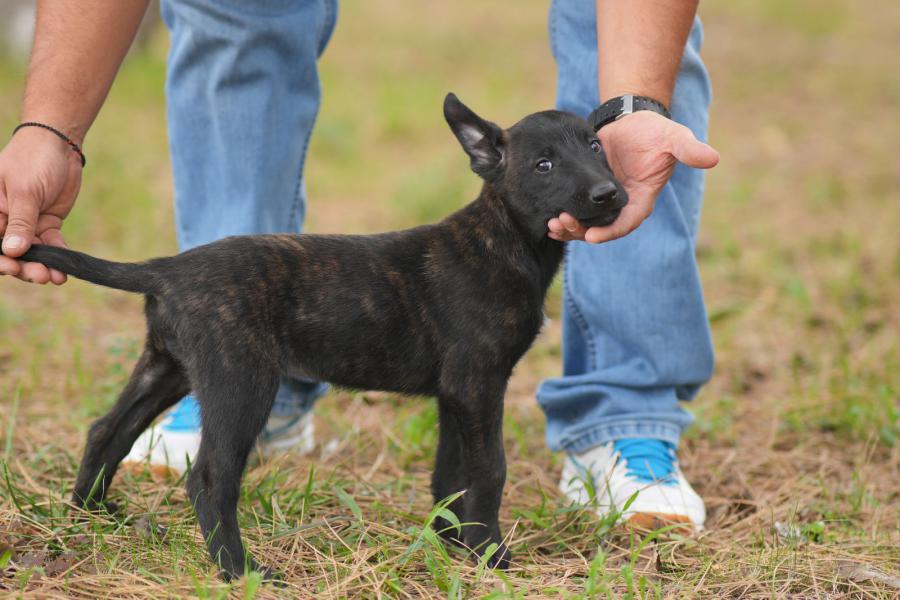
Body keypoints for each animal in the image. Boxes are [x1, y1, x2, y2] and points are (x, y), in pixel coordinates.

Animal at [1, 95, 624, 580]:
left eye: (596, 146)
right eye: (543, 164)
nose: (609, 194)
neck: (504, 239)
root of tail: (165, 269)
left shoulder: (455, 393)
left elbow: (450, 475)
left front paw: (451, 544)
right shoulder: (478, 385)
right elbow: (489, 469)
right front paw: (490, 555)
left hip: (167, 367)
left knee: (107, 430)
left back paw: (93, 515)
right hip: (240, 383)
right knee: (209, 477)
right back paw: (239, 569)